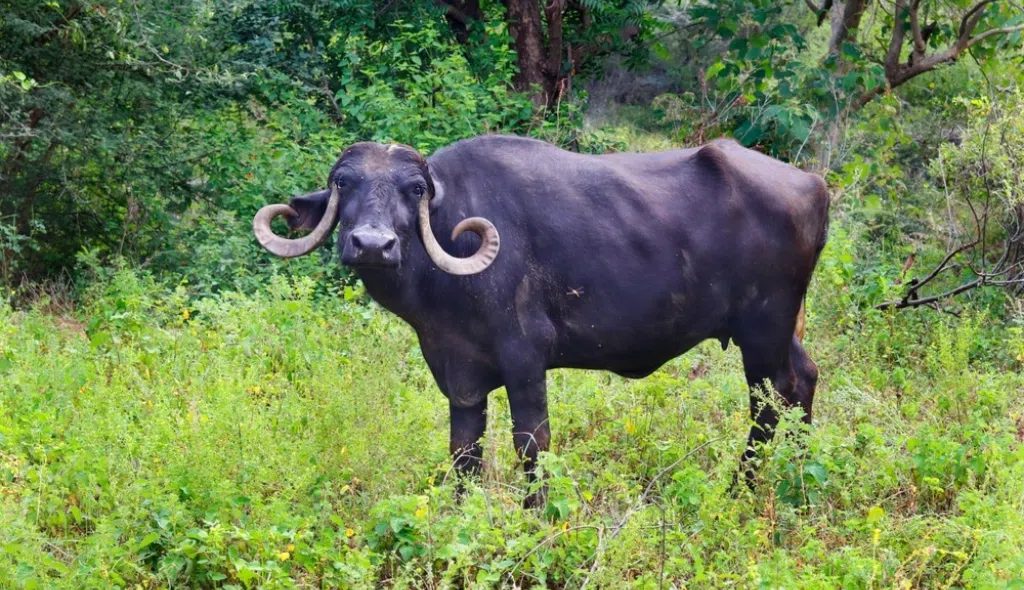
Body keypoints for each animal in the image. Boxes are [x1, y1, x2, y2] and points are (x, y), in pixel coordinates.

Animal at [253, 135, 829, 506]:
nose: (372, 244)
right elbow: (464, 451)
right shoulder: (460, 375)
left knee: (769, 404)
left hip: (762, 334)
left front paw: (537, 516)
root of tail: (814, 185)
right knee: (803, 381)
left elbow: (532, 443)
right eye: (343, 182)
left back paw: (740, 492)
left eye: (415, 189)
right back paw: (798, 481)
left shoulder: (524, 361)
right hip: (783, 332)